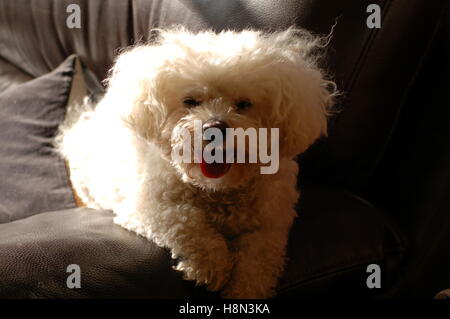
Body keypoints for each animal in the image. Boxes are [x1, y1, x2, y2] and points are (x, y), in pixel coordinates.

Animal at [55, 27, 334, 300]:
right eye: (190, 101)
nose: (215, 128)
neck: (217, 189)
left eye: (244, 104)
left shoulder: (271, 224)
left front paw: (244, 289)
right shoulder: (146, 210)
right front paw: (211, 265)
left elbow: (260, 258)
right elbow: (186, 221)